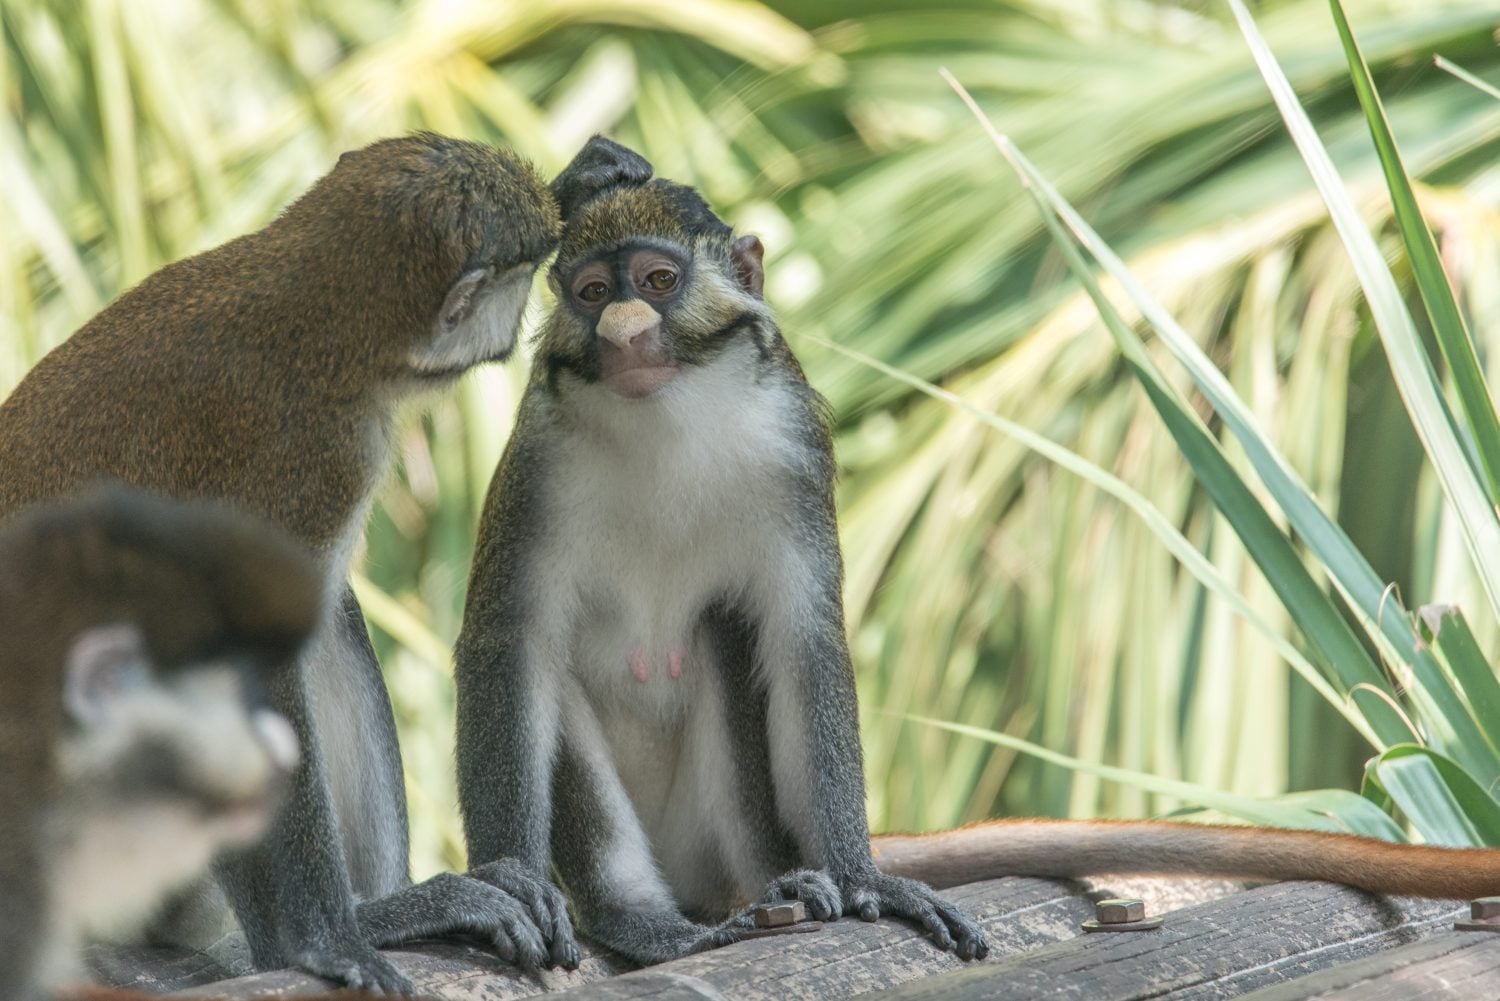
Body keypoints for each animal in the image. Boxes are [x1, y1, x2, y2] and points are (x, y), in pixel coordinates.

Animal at [452, 165, 990, 967]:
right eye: (592, 293)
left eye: (658, 280)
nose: (622, 329)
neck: (666, 419)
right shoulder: (536, 466)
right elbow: (510, 643)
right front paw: (510, 882)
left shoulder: (793, 449)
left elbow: (803, 641)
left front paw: (867, 879)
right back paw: (646, 922)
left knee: (727, 636)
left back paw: (783, 885)